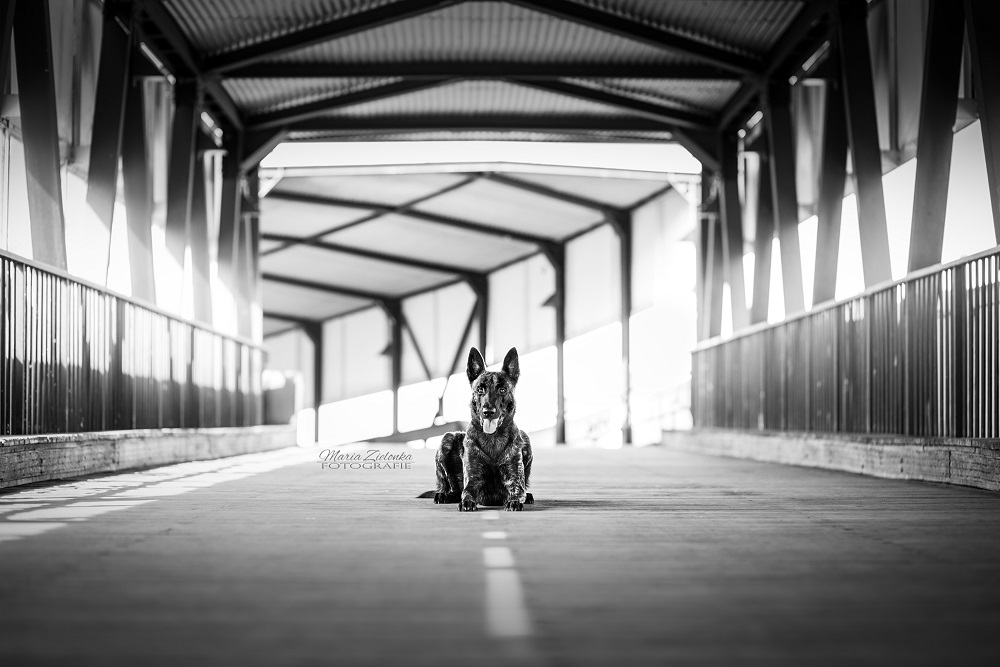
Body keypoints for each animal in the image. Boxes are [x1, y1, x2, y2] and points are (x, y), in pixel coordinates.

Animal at [418, 350, 536, 512]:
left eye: (502, 389)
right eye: (480, 389)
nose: (488, 412)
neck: (493, 438)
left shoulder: (514, 479)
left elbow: (518, 490)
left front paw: (515, 501)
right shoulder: (473, 479)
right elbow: (466, 492)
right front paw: (466, 502)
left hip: (525, 439)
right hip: (446, 440)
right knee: (451, 488)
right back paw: (443, 495)